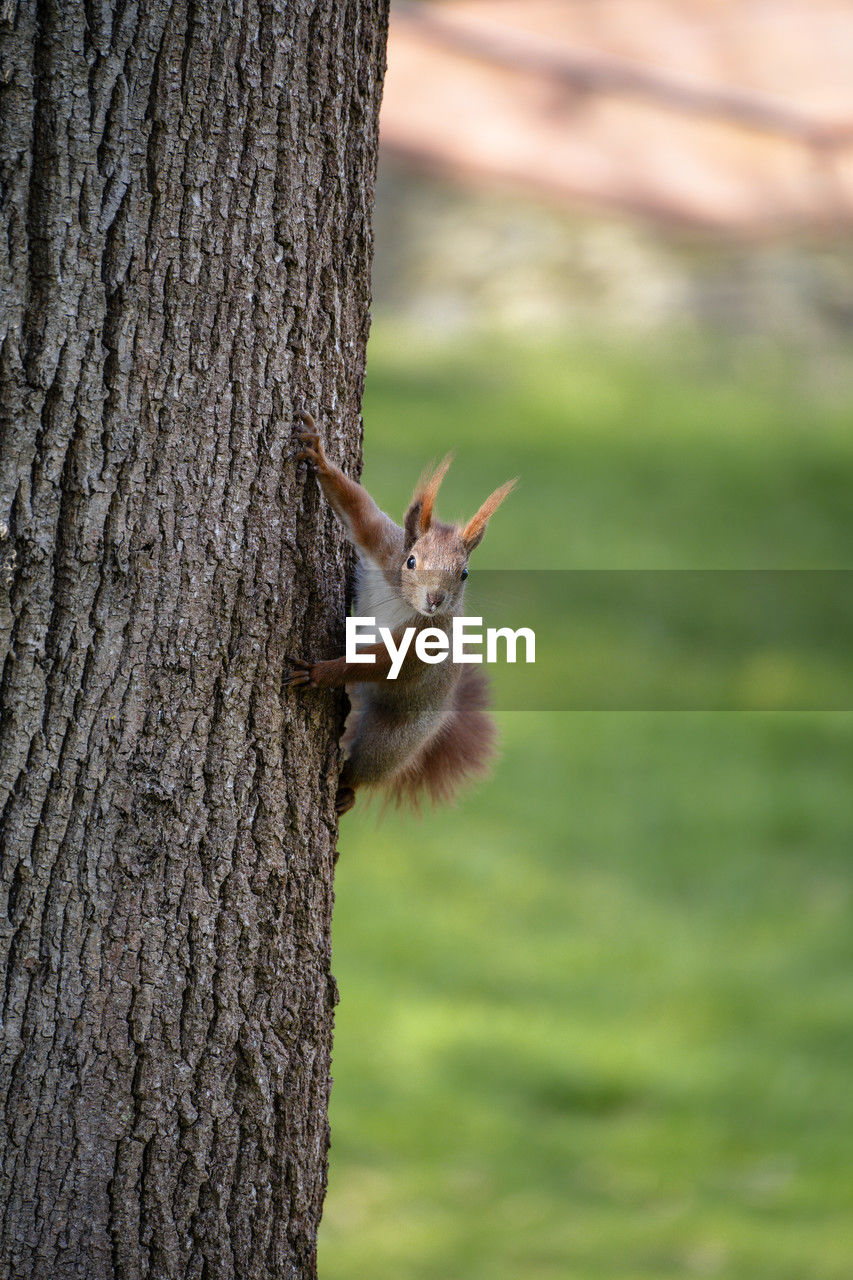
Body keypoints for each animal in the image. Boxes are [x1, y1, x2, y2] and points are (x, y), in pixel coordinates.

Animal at [285, 409, 514, 814]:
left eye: (464, 573)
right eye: (411, 561)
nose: (435, 599)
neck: (402, 600)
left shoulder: (426, 641)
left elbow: (379, 662)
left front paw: (318, 673)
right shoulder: (381, 543)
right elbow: (357, 507)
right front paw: (318, 455)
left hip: (397, 737)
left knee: (372, 764)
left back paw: (347, 789)